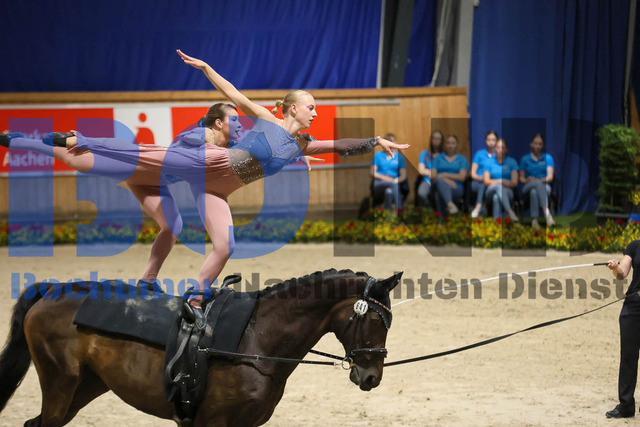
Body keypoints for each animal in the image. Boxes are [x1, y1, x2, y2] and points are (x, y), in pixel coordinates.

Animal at [0, 269, 401, 426]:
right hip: (60, 385)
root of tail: (53, 290)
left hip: (85, 387)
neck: (255, 340)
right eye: (375, 321)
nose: (371, 377)